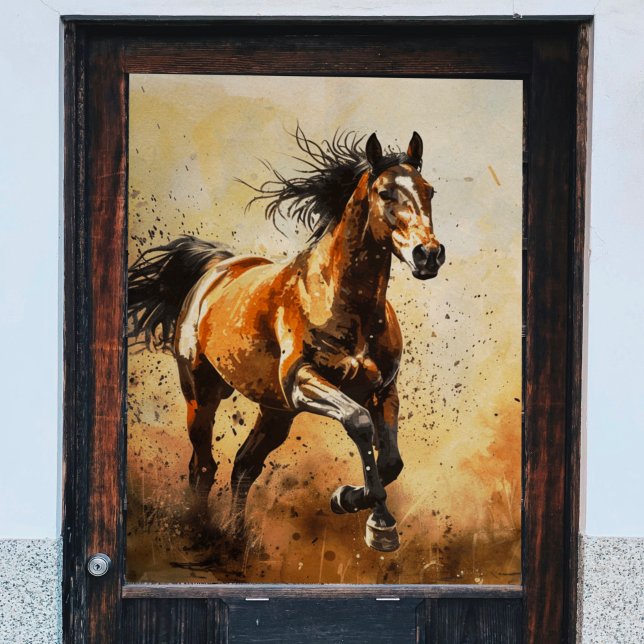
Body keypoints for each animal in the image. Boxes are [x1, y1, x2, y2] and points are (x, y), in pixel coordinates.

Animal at [128, 129, 445, 552]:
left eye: (429, 190)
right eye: (385, 192)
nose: (428, 255)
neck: (342, 302)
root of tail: (216, 268)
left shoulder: (383, 390)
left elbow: (391, 461)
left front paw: (350, 501)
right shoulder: (302, 381)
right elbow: (358, 422)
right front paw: (375, 522)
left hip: (275, 412)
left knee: (244, 466)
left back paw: (238, 539)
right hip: (202, 393)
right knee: (203, 466)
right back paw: (200, 532)